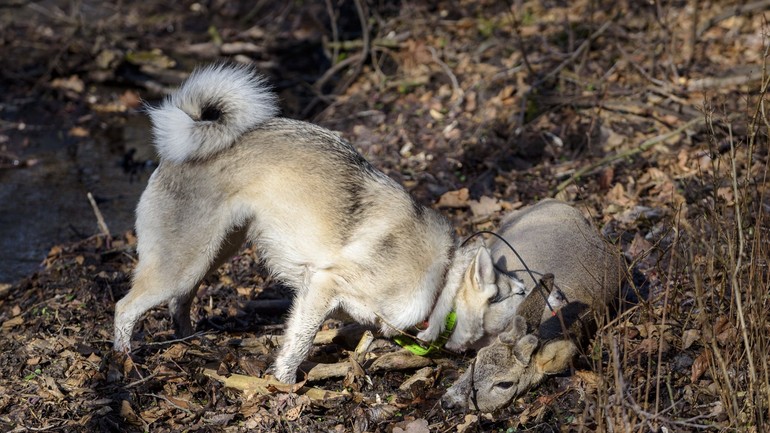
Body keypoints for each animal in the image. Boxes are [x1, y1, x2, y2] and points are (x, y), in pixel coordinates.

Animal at [112, 63, 529, 383]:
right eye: (520, 293)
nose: (548, 299)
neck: (443, 280)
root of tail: (180, 149)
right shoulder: (321, 287)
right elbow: (298, 345)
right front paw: (283, 386)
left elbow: (363, 343)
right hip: (184, 263)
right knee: (125, 307)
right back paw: (124, 361)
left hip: (211, 255)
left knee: (178, 302)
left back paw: (187, 342)